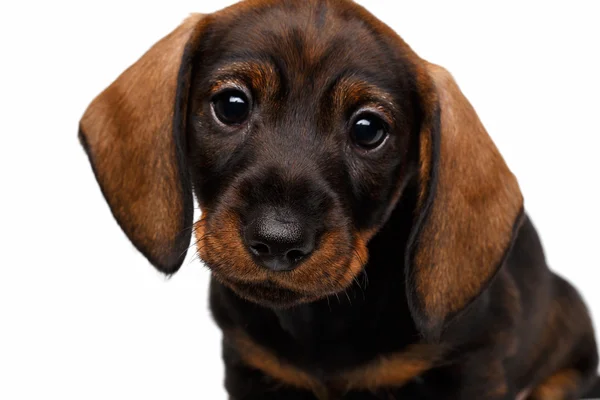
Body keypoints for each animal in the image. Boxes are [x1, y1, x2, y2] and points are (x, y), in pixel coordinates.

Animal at [81, 0, 600, 400]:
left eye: (368, 129)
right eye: (231, 105)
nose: (278, 240)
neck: (320, 322)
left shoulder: (471, 367)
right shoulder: (253, 368)